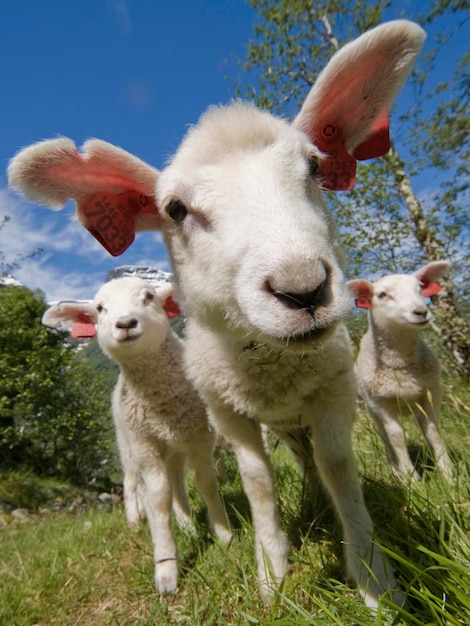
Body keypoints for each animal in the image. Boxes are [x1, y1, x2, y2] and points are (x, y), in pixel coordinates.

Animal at [41, 276, 232, 588]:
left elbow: (206, 484)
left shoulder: (199, 436)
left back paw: (187, 525)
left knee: (176, 483)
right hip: (127, 444)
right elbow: (158, 498)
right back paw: (137, 521)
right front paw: (166, 566)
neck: (162, 403)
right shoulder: (144, 446)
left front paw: (225, 536)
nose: (126, 323)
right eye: (100, 308)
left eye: (149, 296)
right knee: (133, 484)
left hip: (172, 450)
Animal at [346, 260, 454, 480]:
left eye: (420, 288)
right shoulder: (381, 403)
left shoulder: (430, 392)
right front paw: (412, 478)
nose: (421, 312)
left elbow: (433, 431)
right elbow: (396, 437)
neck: (402, 367)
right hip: (371, 409)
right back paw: (396, 471)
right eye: (382, 295)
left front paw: (448, 474)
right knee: (384, 436)